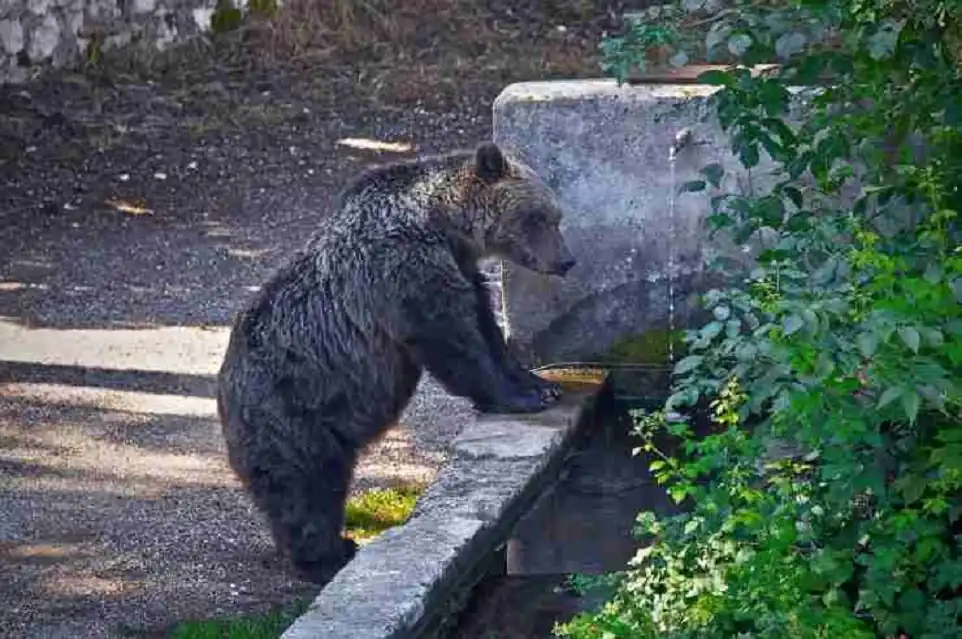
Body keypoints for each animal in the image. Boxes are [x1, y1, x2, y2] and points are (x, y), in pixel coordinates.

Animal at [215, 142, 576, 585]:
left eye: (555, 216)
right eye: (536, 217)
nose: (566, 260)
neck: (443, 224)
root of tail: (223, 388)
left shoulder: (459, 267)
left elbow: (484, 324)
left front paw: (539, 384)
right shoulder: (405, 269)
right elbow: (453, 341)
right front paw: (520, 398)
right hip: (289, 411)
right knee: (304, 488)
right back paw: (327, 558)